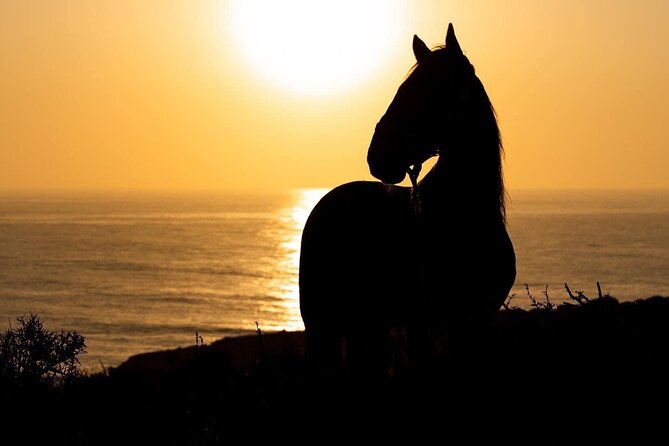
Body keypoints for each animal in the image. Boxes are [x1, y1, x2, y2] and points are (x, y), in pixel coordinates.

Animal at [298, 24, 516, 376]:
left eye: (431, 90)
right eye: (403, 89)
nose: (377, 156)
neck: (464, 218)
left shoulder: (479, 322)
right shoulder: (419, 325)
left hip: (368, 325)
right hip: (322, 323)